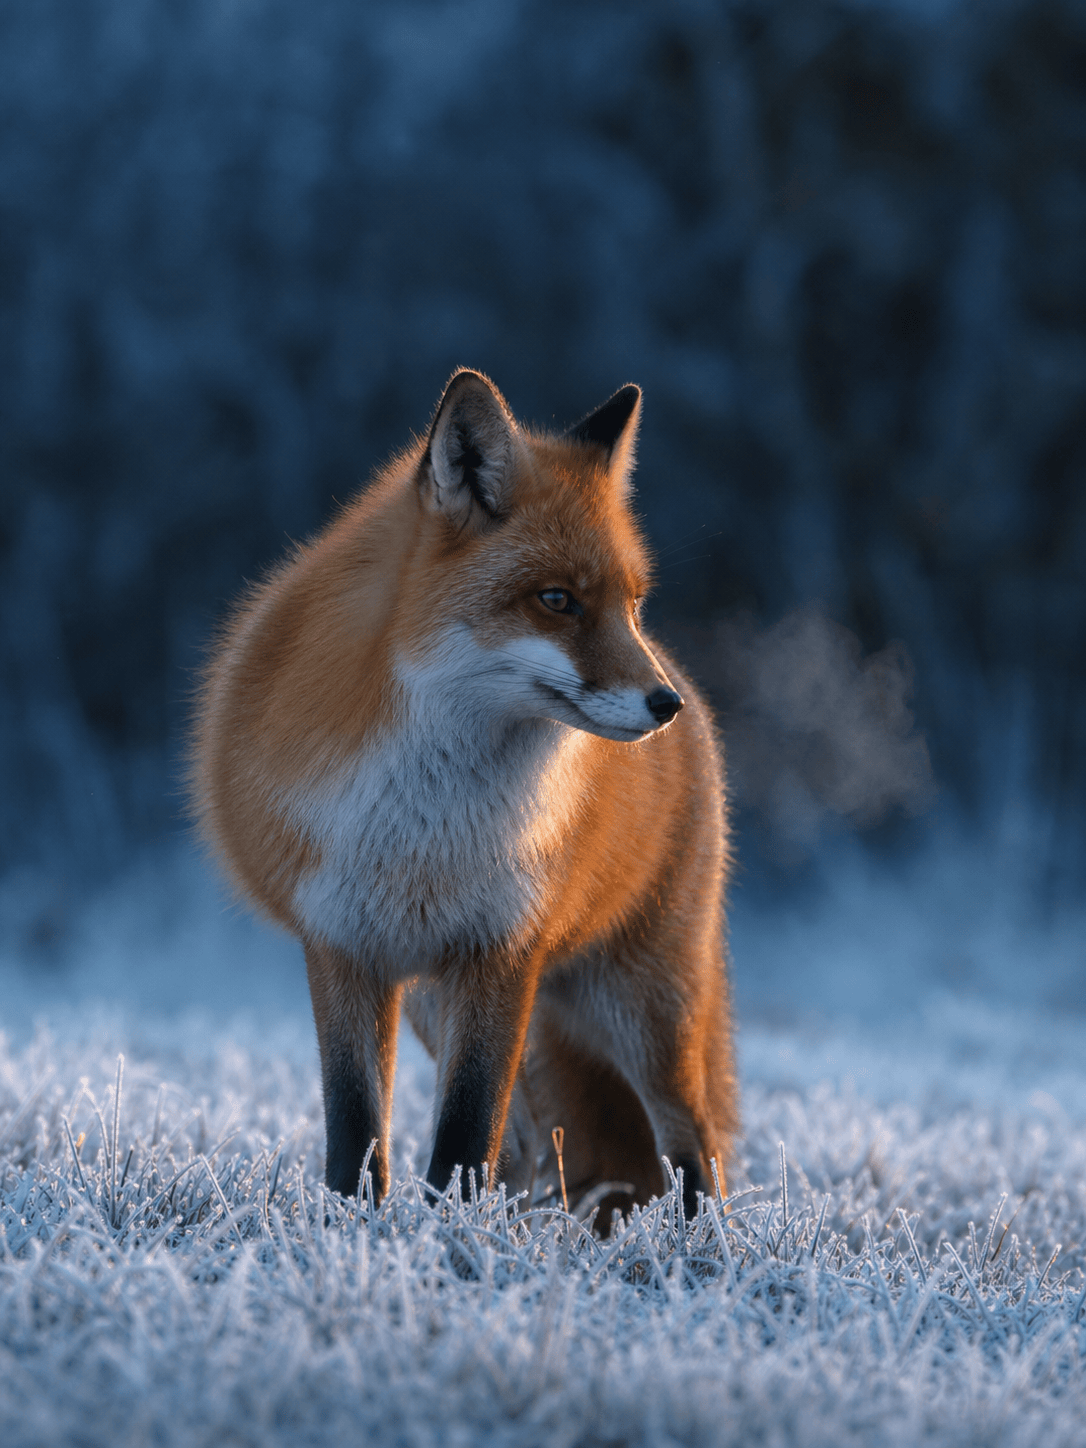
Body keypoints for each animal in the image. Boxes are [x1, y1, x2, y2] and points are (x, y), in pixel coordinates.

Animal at [191, 369, 737, 1222]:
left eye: (631, 603)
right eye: (557, 600)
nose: (664, 704)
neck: (426, 821)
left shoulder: (502, 950)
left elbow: (463, 1131)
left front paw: (447, 1236)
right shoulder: (343, 946)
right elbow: (359, 1131)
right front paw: (357, 1230)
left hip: (645, 1001)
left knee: (691, 1143)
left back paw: (699, 1244)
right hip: (441, 1004)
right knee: (529, 1141)